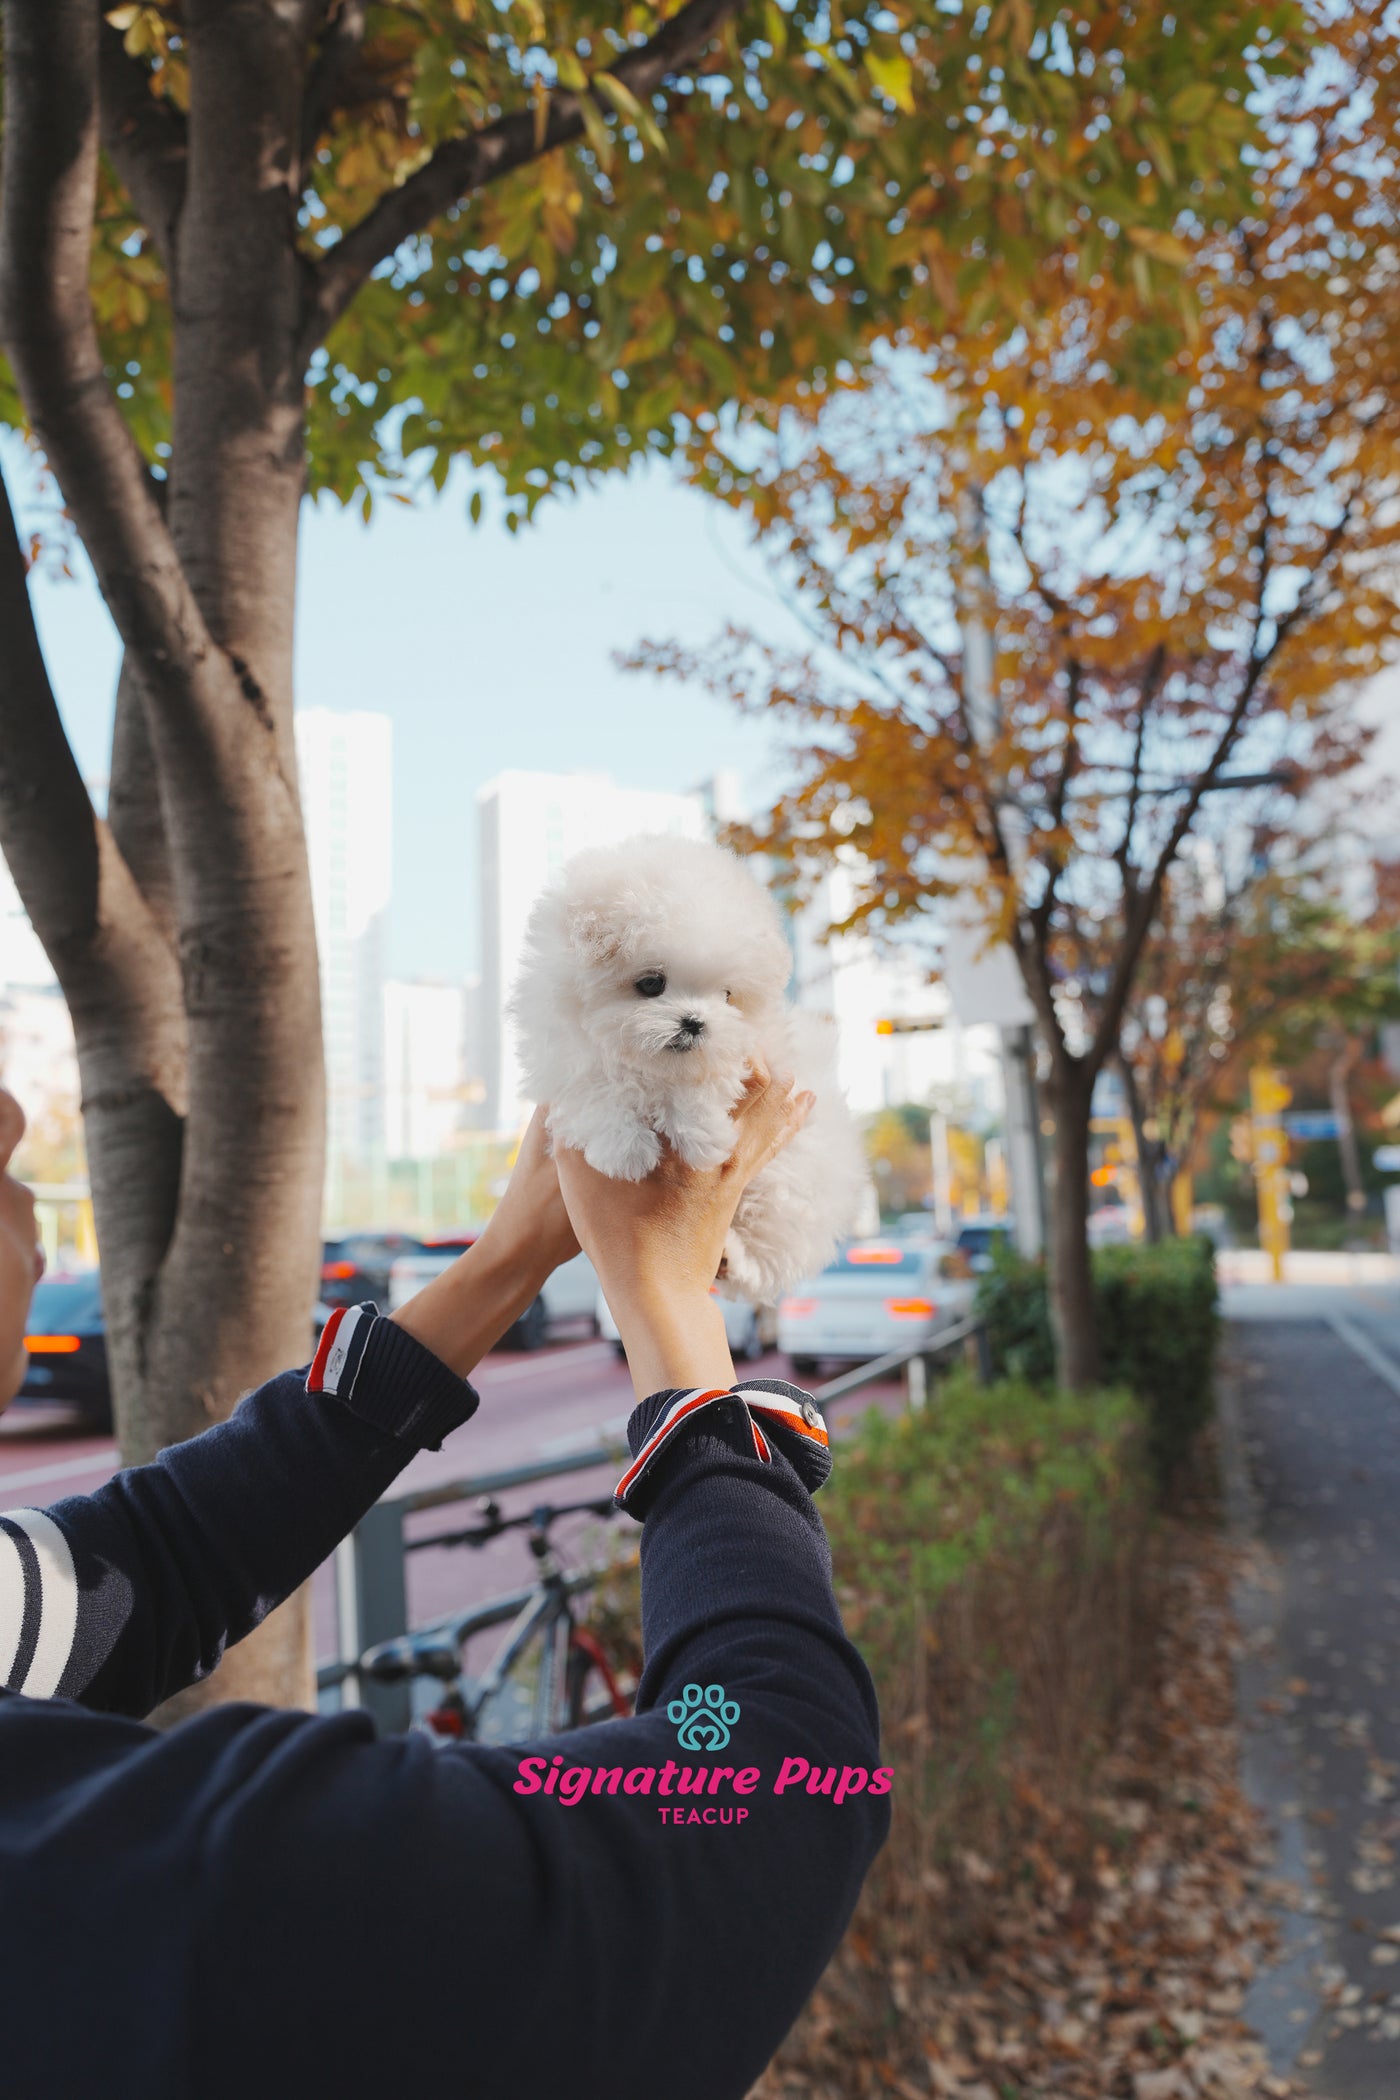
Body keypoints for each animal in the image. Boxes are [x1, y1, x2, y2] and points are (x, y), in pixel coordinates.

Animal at [510, 831, 868, 1293]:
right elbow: (596, 1092)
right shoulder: (563, 1057)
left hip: (786, 1189)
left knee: (770, 1252)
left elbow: (707, 1080)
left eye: (727, 996)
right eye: (651, 983)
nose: (696, 1023)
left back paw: (736, 1257)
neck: (648, 1066)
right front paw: (626, 1149)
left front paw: (702, 1135)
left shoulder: (754, 1049)